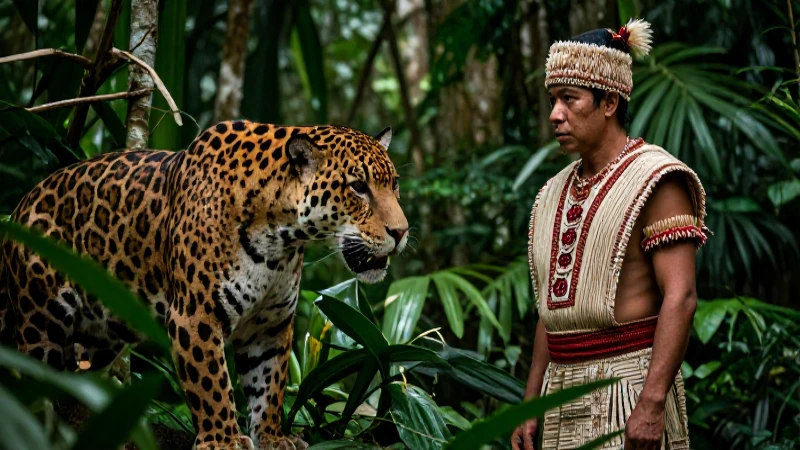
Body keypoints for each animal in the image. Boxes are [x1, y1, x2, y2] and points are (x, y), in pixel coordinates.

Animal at [0, 120, 408, 450]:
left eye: (394, 186)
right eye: (358, 187)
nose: (401, 232)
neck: (281, 240)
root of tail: (18, 208)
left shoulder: (271, 324)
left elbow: (270, 383)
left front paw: (272, 436)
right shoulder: (195, 316)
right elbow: (211, 385)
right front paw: (223, 440)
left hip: (97, 338)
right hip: (42, 321)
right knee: (32, 377)